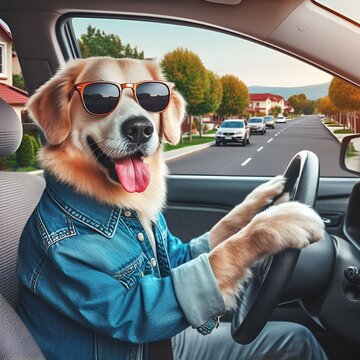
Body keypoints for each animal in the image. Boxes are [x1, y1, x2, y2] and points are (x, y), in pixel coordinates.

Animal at [25, 54, 324, 310]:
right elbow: (220, 254)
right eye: (98, 98)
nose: (140, 129)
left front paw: (268, 193)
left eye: (152, 97)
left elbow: (221, 230)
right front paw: (278, 222)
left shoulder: (176, 249)